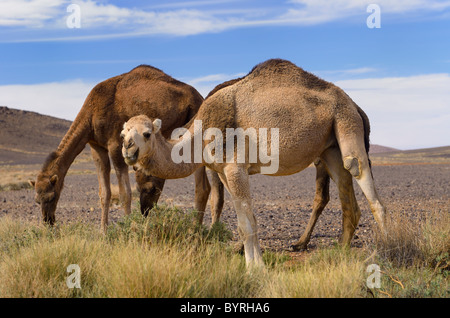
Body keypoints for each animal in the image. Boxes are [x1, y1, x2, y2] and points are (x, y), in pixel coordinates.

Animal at [29, 65, 222, 231]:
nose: (48, 221)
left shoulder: (116, 144)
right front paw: (103, 232)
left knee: (203, 187)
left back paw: (197, 229)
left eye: (52, 196)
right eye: (37, 200)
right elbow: (104, 193)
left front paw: (129, 227)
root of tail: (200, 98)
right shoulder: (97, 147)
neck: (90, 116)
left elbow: (125, 193)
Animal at [122, 59, 386, 266]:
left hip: (345, 119)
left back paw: (385, 252)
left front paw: (255, 267)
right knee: (346, 190)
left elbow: (246, 223)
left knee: (359, 172)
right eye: (123, 133)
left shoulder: (235, 167)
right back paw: (341, 252)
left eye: (146, 133)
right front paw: (250, 260)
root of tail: (356, 105)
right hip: (330, 145)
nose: (128, 149)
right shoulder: (225, 172)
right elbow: (244, 220)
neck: (202, 133)